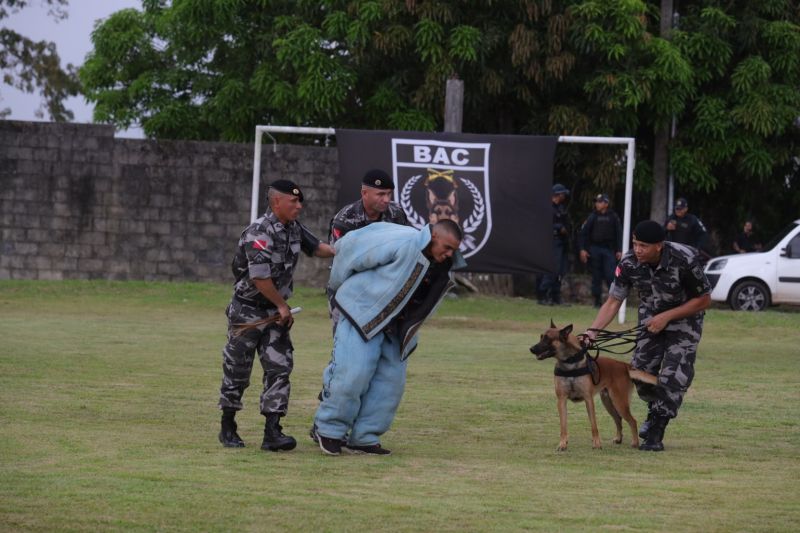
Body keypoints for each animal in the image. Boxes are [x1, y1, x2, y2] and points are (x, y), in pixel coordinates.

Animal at [532, 320, 656, 448]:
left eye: (547, 339)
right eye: (541, 337)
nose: (531, 349)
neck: (570, 363)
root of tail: (624, 365)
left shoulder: (588, 399)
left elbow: (594, 425)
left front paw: (597, 443)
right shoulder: (561, 400)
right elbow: (563, 426)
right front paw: (562, 443)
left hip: (619, 402)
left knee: (632, 421)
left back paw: (635, 442)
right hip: (608, 402)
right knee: (618, 419)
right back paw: (618, 438)